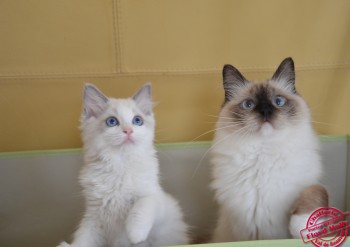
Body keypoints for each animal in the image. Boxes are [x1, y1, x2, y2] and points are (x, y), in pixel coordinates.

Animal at [57, 83, 189, 247]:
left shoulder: (155, 197)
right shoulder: (94, 216)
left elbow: (142, 207)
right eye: (112, 122)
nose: (128, 131)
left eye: (137, 120)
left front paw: (135, 235)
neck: (120, 164)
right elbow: (83, 239)